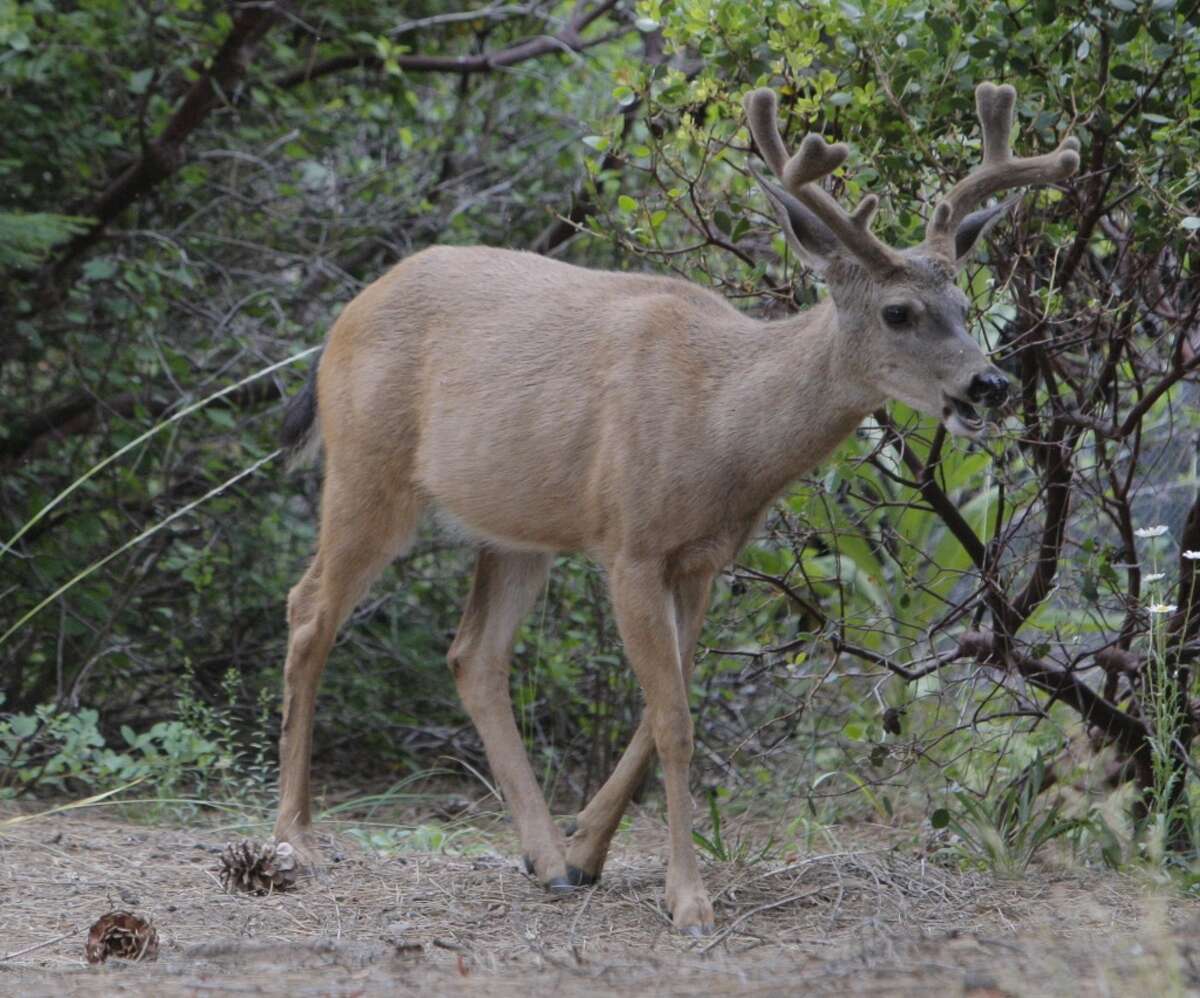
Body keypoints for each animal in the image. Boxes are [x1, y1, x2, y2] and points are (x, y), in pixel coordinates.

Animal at [272, 81, 1080, 930]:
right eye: (898, 311)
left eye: (961, 299)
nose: (990, 384)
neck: (720, 425)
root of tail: (341, 321)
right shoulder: (630, 543)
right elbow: (676, 724)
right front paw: (688, 898)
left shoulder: (700, 560)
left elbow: (666, 707)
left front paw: (589, 850)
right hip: (367, 469)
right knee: (310, 608)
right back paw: (297, 835)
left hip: (517, 529)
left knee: (473, 654)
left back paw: (544, 857)